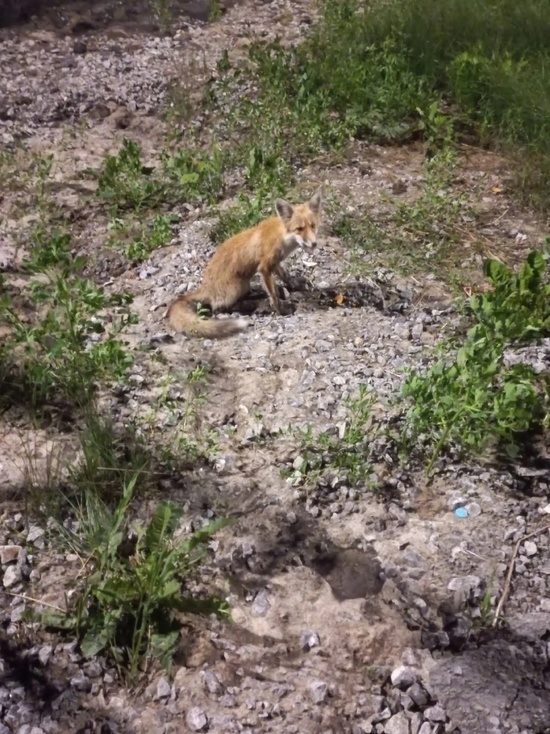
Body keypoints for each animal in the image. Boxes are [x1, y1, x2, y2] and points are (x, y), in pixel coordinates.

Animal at [168, 190, 324, 340]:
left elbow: (285, 276)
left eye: (313, 226)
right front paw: (281, 310)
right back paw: (251, 305)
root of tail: (205, 288)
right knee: (219, 308)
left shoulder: (275, 263)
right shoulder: (264, 267)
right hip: (239, 286)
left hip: (244, 285)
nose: (314, 243)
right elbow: (273, 296)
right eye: (299, 229)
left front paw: (295, 285)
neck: (282, 237)